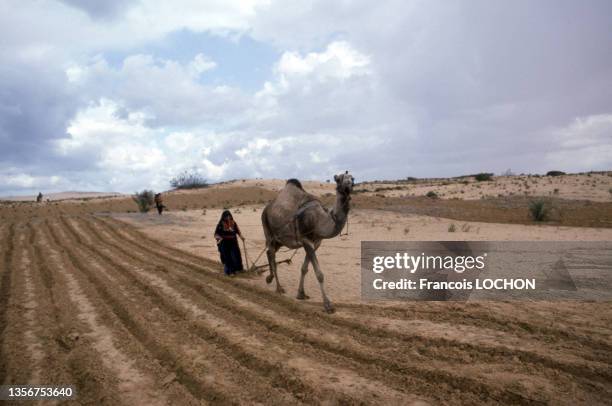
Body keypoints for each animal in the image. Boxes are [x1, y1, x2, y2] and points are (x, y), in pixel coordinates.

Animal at [262, 171, 354, 314]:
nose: (349, 186)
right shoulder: (306, 240)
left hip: (280, 240)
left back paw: (269, 278)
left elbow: (304, 268)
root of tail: (265, 209)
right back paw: (279, 288)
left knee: (269, 253)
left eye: (353, 179)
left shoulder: (316, 243)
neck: (319, 221)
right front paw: (328, 305)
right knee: (271, 254)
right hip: (268, 232)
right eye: (339, 179)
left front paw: (301, 294)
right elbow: (319, 274)